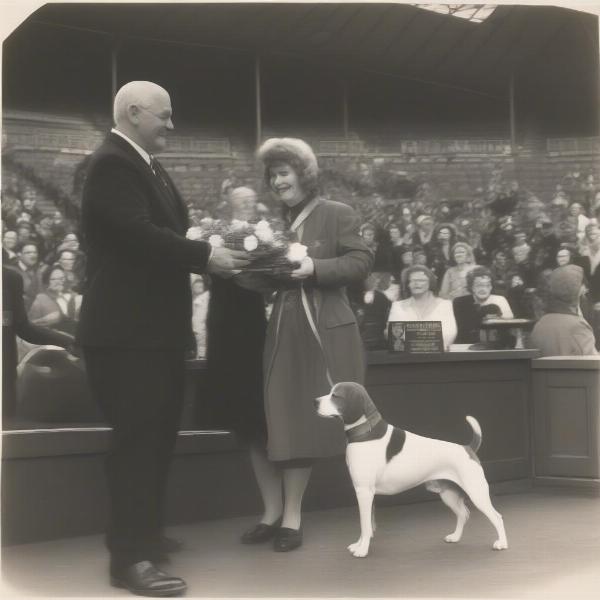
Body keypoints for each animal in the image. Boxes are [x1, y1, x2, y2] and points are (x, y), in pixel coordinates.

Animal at [314, 382, 506, 556]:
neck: (367, 433)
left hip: (477, 494)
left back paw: (502, 543)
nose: (315, 401)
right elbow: (366, 523)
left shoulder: (364, 492)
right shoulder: (366, 494)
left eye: (335, 396)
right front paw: (359, 544)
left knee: (497, 517)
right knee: (463, 514)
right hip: (448, 495)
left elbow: (365, 525)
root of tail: (468, 448)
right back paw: (455, 537)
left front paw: (362, 550)